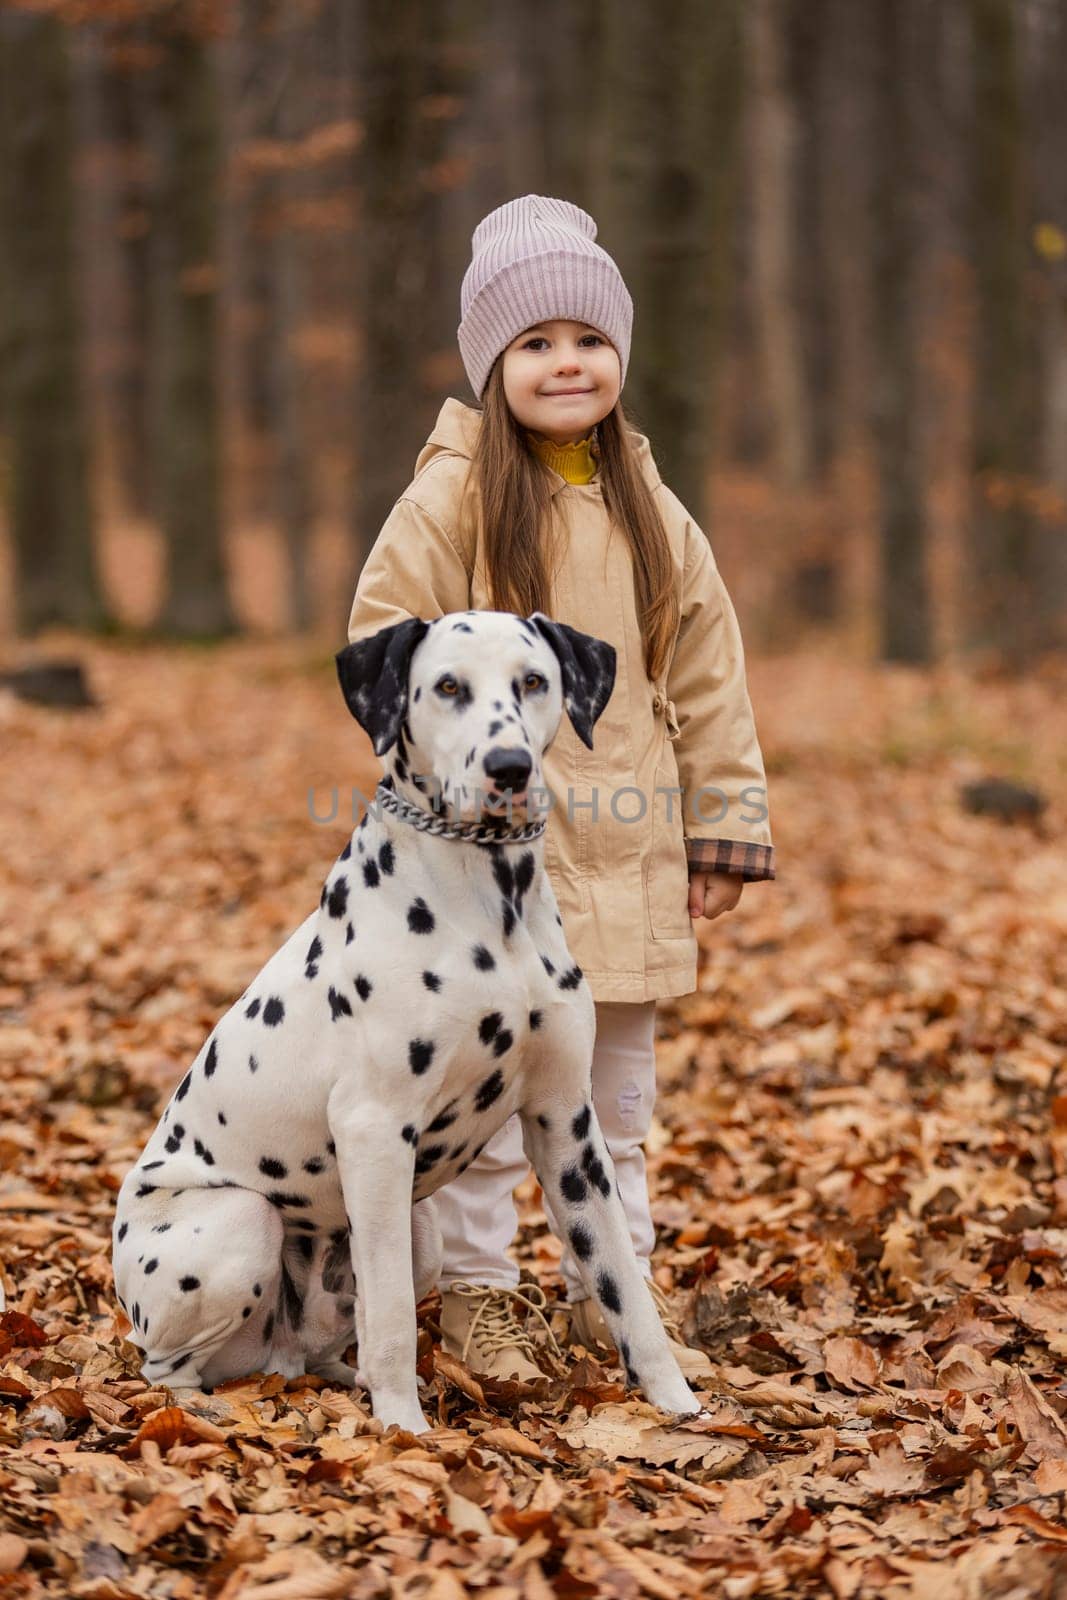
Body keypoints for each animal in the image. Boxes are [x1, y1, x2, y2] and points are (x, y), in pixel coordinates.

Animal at [115, 614, 700, 1440]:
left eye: (533, 681)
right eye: (447, 686)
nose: (509, 766)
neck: (492, 904)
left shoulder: (566, 1127)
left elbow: (621, 1280)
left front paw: (677, 1402)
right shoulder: (375, 1131)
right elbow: (391, 1312)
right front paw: (402, 1430)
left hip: (418, 1232)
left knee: (316, 1346)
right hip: (241, 1221)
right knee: (166, 1367)